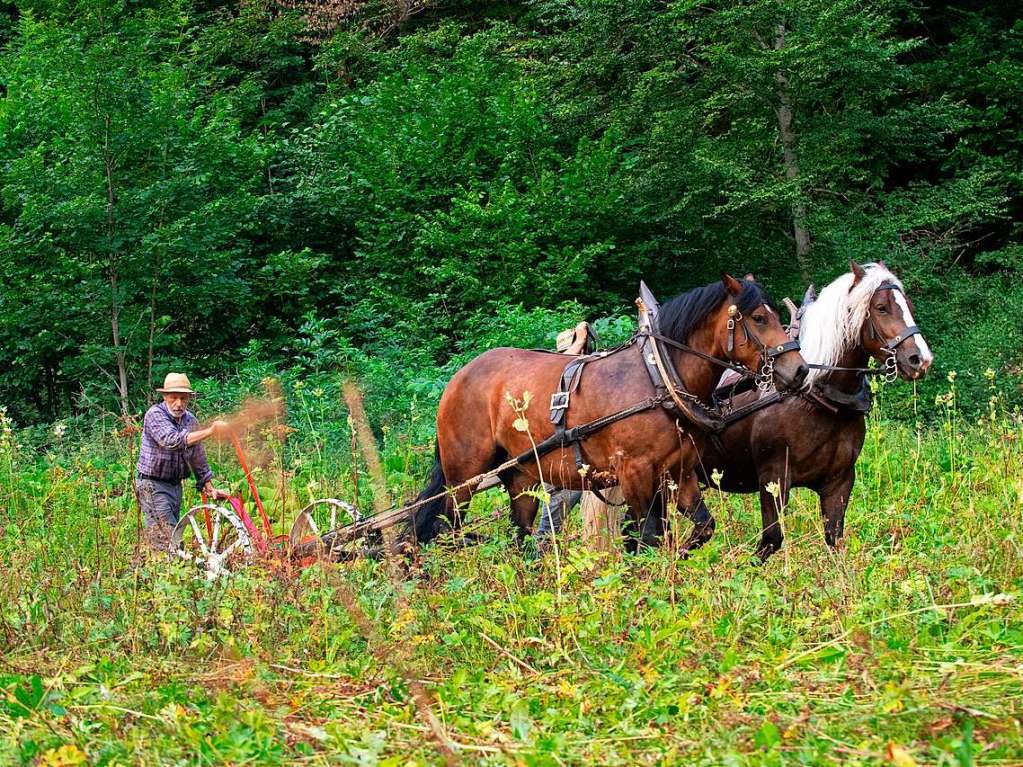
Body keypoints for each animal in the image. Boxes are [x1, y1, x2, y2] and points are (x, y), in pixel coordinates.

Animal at [413, 276, 806, 552]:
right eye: (758, 318)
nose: (800, 370)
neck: (659, 378)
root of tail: (457, 378)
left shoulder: (678, 472)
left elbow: (699, 528)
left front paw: (678, 559)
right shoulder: (633, 474)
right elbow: (647, 537)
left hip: (521, 476)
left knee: (520, 536)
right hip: (464, 474)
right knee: (448, 529)